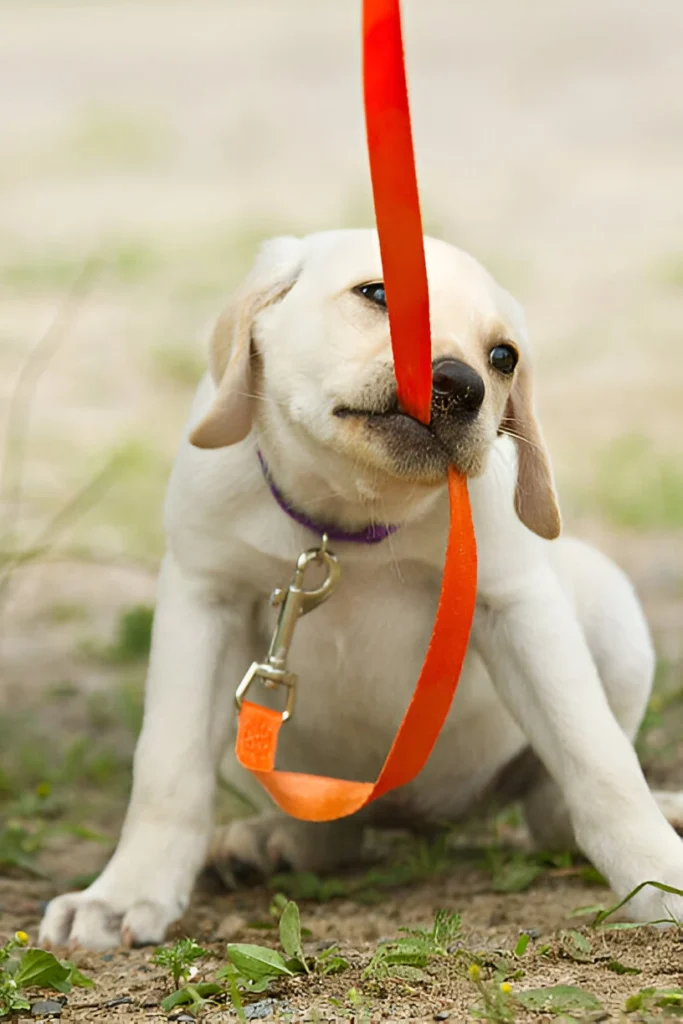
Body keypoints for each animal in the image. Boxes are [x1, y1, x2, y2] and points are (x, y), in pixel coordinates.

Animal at [41, 232, 683, 950]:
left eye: (502, 357)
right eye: (376, 294)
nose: (460, 385)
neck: (348, 517)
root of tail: (416, 818)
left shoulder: (516, 606)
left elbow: (600, 762)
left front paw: (659, 875)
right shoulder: (201, 599)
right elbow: (167, 768)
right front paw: (123, 895)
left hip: (612, 611)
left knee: (553, 811)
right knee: (328, 836)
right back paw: (267, 842)